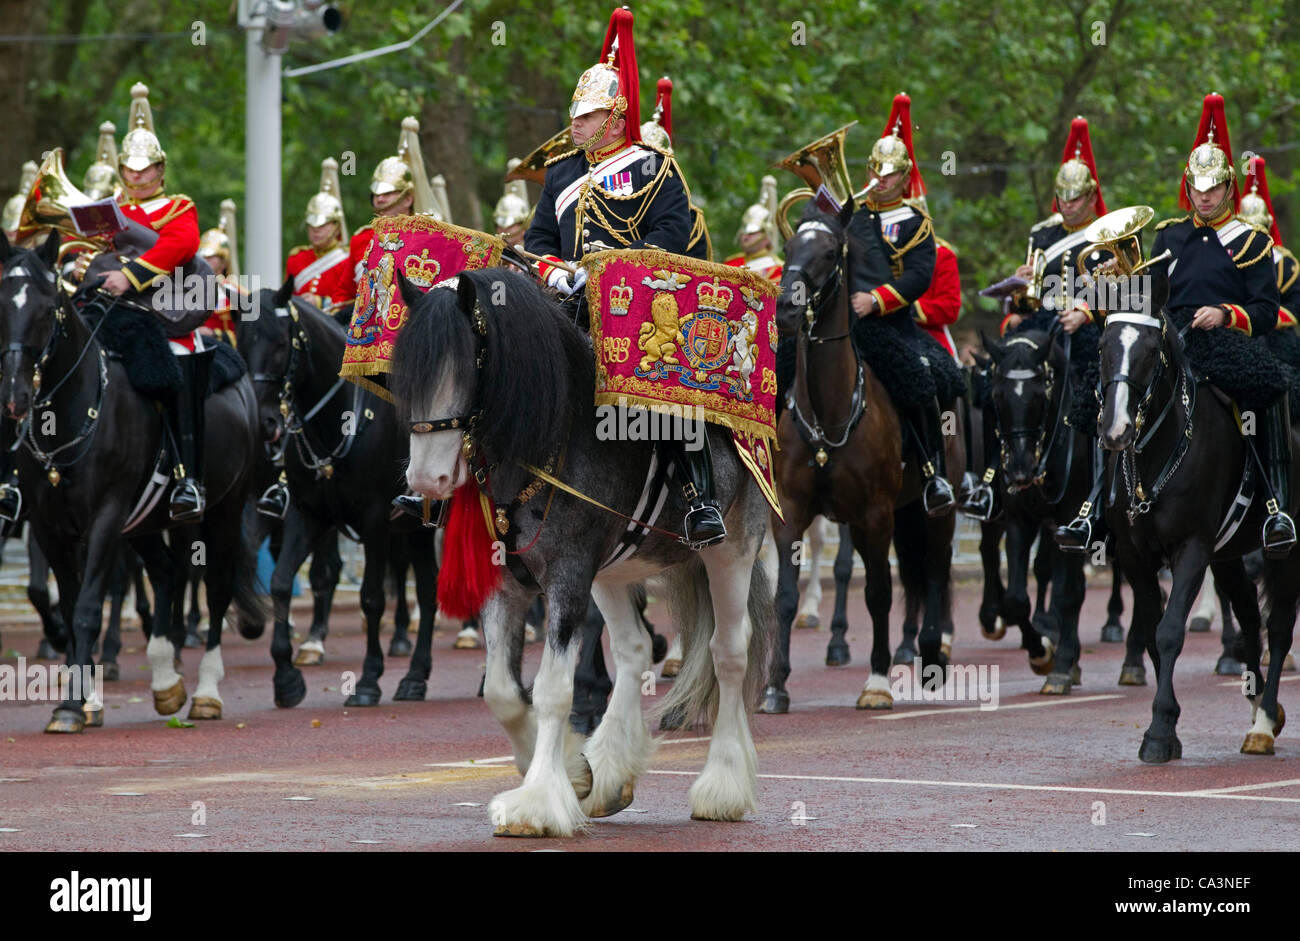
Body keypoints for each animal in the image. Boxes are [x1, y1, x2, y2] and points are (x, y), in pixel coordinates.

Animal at [0, 231, 263, 732]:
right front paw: (86, 698)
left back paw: (205, 692)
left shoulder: (105, 515)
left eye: (46, 308)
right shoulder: (48, 525)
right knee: (166, 571)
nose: (14, 396)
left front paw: (70, 706)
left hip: (222, 511)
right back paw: (164, 681)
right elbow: (69, 604)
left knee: (216, 585)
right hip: (144, 522)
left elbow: (88, 607)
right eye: (0, 302)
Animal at [235, 282, 438, 709]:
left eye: (282, 343)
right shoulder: (305, 515)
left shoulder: (375, 520)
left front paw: (369, 680)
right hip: (416, 527)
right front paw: (286, 678)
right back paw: (415, 677)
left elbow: (371, 597)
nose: (264, 424)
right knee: (429, 588)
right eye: (242, 342)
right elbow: (280, 583)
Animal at [394, 268, 774, 837]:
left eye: (467, 364)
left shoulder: (567, 578)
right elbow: (502, 691)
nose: (427, 480)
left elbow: (553, 690)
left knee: (728, 652)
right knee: (635, 646)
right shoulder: (506, 582)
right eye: (405, 377)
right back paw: (611, 772)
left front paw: (536, 803)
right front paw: (572, 773)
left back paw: (722, 787)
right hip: (613, 570)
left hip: (732, 548)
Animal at [1098, 309, 1300, 761]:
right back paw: (1260, 705)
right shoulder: (1137, 556)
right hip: (1228, 554)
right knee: (1249, 613)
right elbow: (1152, 631)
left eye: (1150, 351)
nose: (1116, 430)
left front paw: (1159, 731)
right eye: (1103, 346)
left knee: (1278, 627)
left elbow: (1170, 630)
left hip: (1286, 552)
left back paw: (1263, 723)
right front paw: (1168, 726)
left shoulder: (1191, 548)